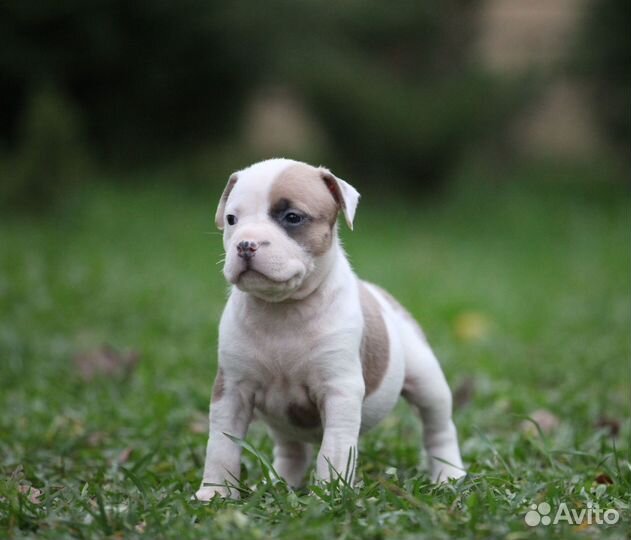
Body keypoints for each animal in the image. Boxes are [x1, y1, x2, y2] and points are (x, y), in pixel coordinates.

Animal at [195, 158, 466, 500]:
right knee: (292, 450)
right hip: (280, 421)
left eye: (292, 217)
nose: (245, 244)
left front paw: (329, 495)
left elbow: (333, 449)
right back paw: (279, 483)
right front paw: (214, 494)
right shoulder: (232, 390)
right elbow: (221, 444)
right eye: (232, 219)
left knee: (439, 428)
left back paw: (449, 475)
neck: (282, 310)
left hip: (427, 380)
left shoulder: (339, 390)